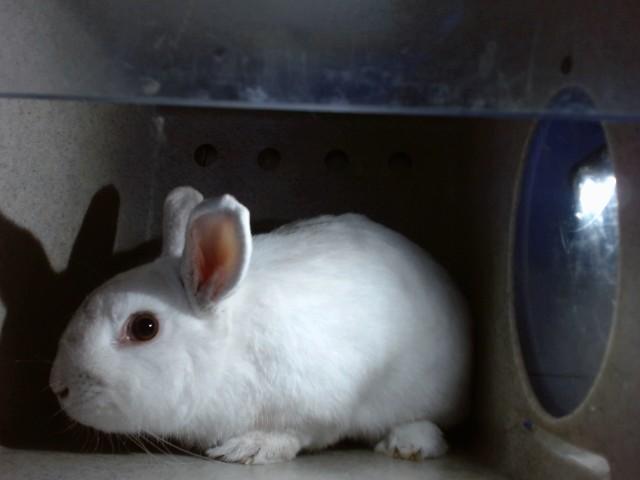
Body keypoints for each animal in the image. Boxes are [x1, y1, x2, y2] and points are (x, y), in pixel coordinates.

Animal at [49, 186, 471, 465]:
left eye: (144, 328)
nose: (58, 387)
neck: (228, 352)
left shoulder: (315, 408)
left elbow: (293, 435)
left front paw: (245, 449)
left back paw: (407, 445)